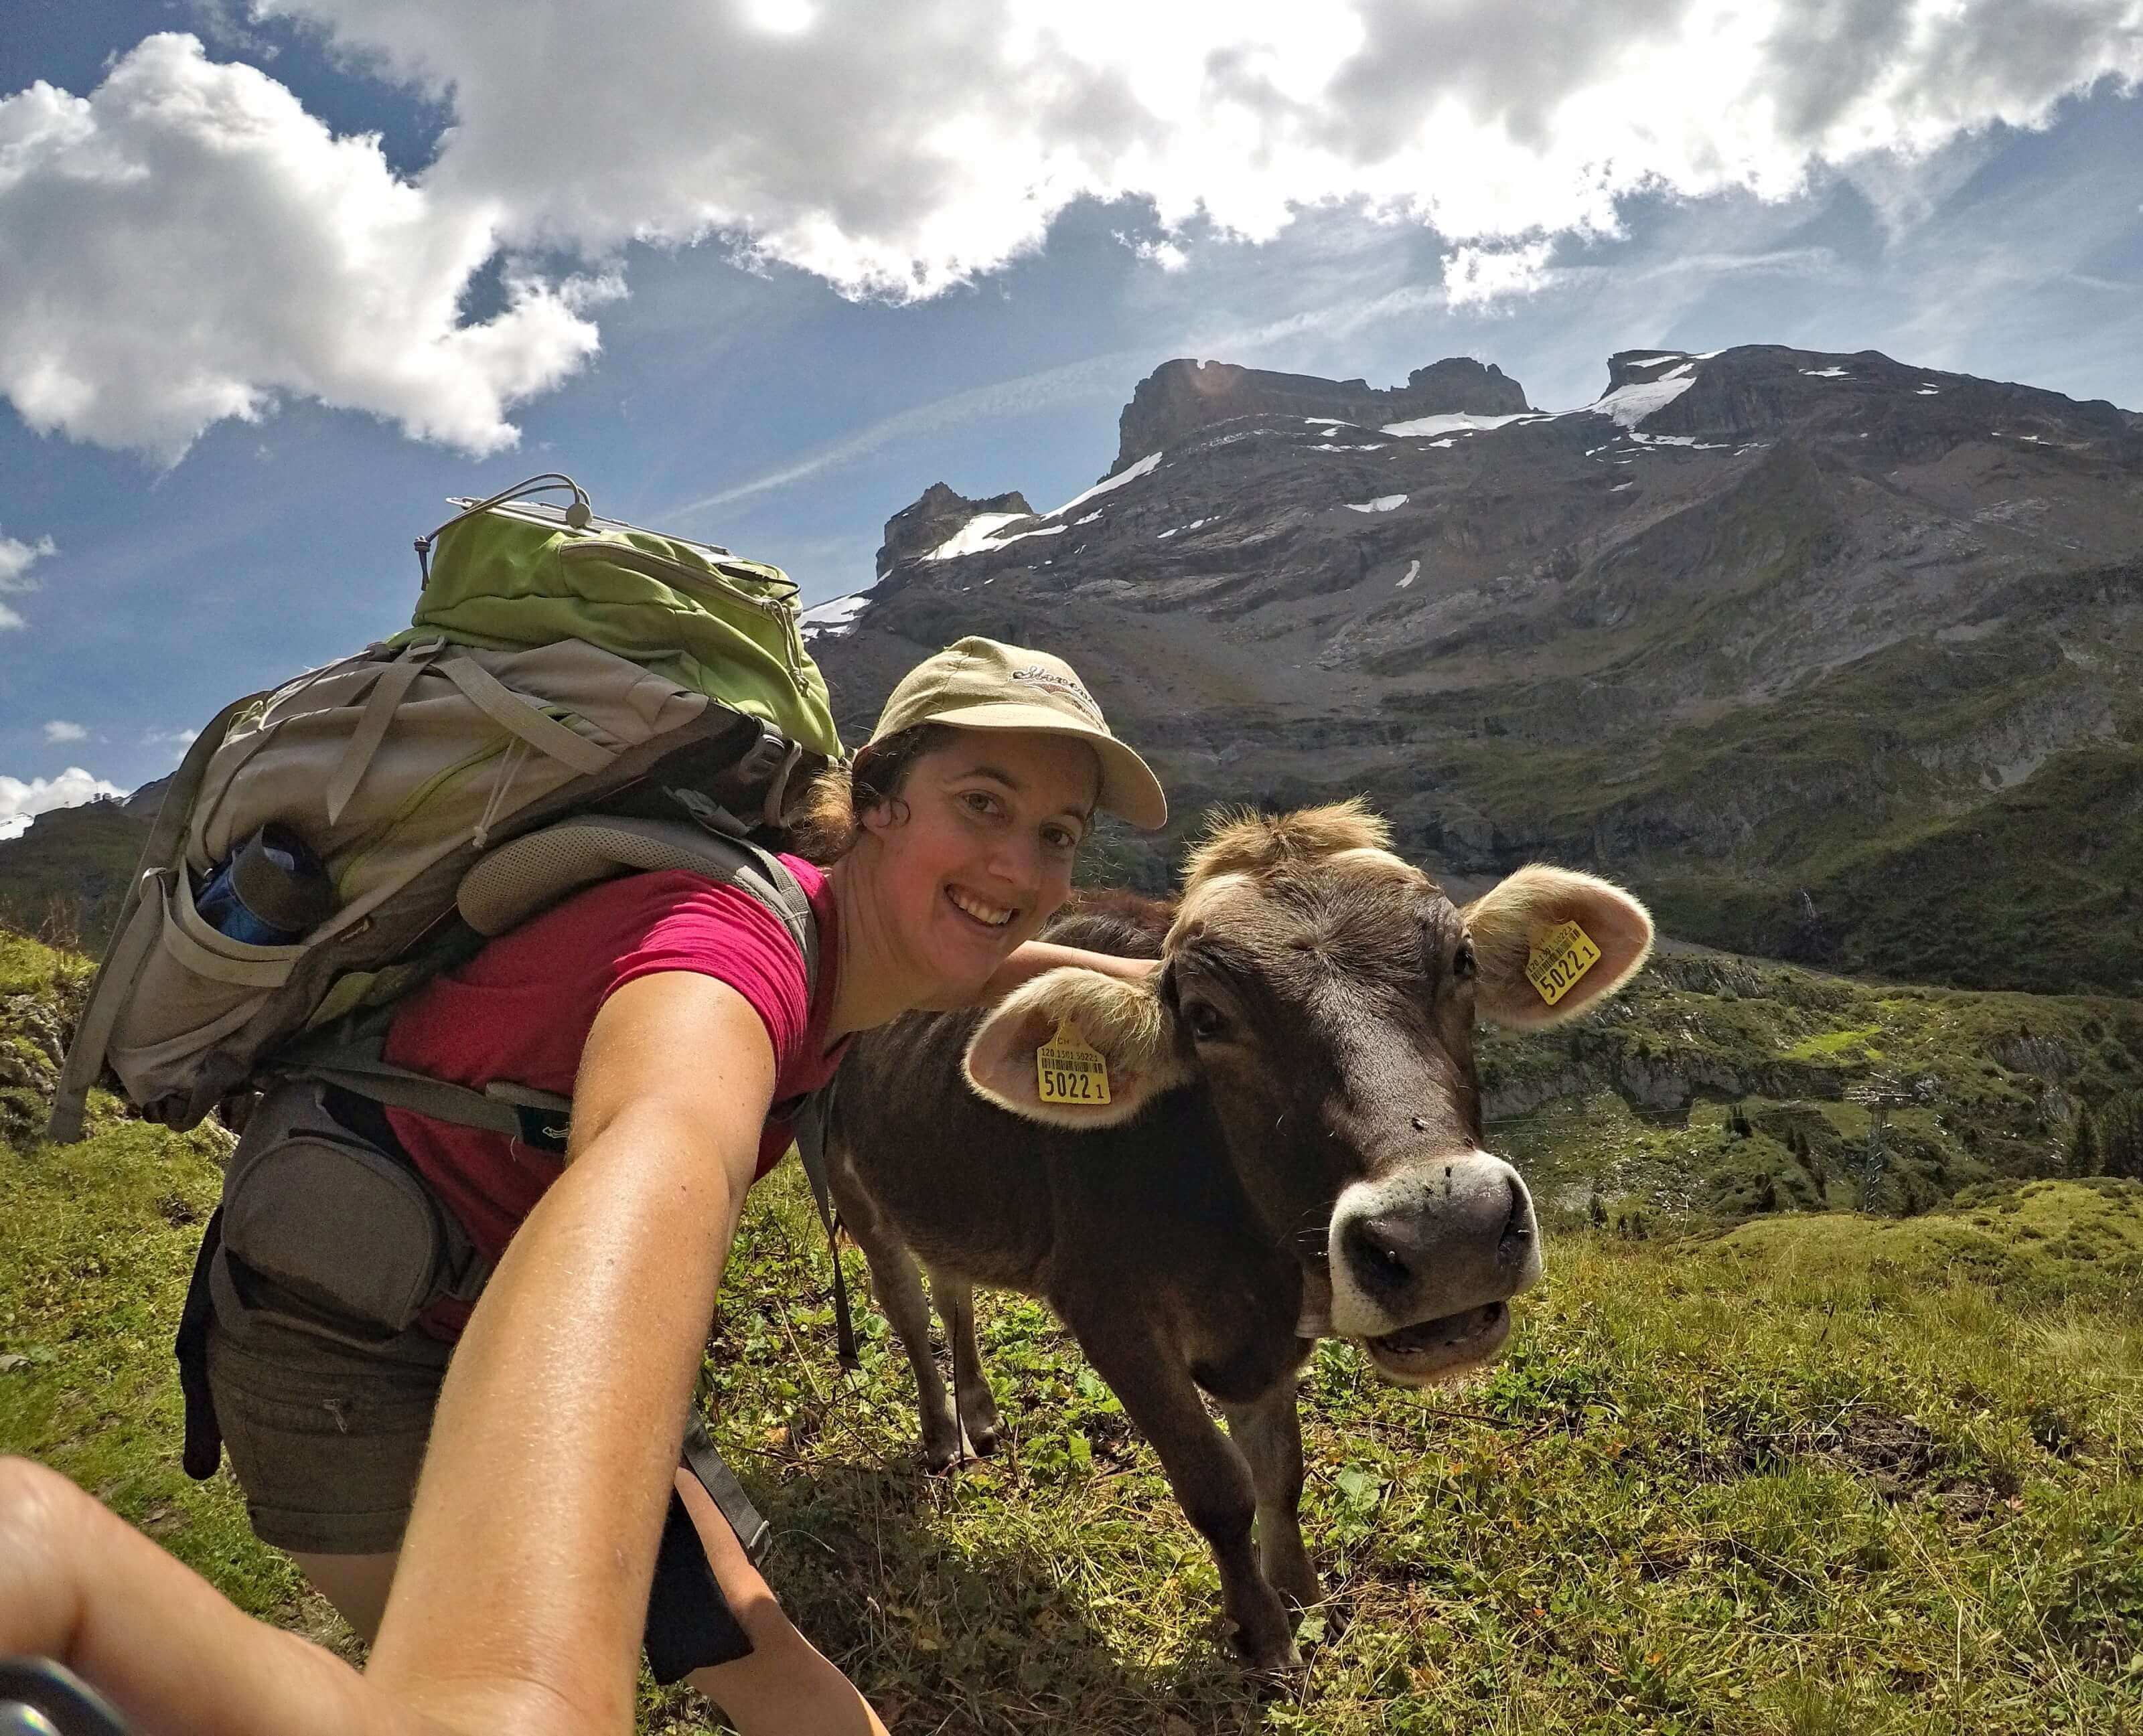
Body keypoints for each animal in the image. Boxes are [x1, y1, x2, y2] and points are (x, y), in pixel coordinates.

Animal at [822, 801, 1654, 1663]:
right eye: (1206, 1017)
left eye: (1460, 960)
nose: (1443, 1234)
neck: (1240, 1251)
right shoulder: (1108, 1314)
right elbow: (1216, 1488)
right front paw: (1263, 1638)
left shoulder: (1270, 1338)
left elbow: (1279, 1473)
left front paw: (1302, 1598)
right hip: (844, 1171)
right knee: (905, 1303)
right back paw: (940, 1432)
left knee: (950, 1284)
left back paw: (980, 1415)